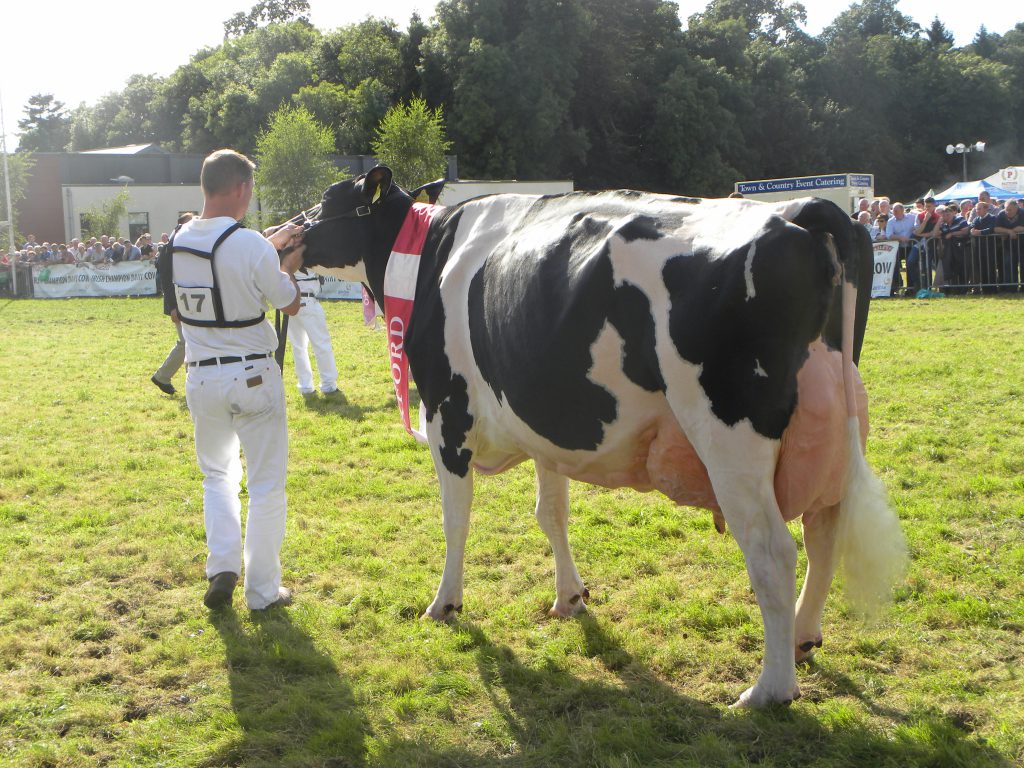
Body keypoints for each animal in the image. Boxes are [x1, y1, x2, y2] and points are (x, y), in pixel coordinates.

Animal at [299, 167, 908, 708]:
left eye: (327, 201)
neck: (429, 258)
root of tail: (800, 210)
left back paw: (769, 690)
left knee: (773, 551)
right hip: (832, 429)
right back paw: (803, 638)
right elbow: (551, 513)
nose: (288, 232)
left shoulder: (445, 416)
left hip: (731, 436)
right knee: (824, 532)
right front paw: (570, 597)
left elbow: (455, 519)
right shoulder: (545, 425)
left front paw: (444, 604)